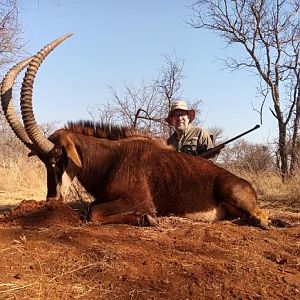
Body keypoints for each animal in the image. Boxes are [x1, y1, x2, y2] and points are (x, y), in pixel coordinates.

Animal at [1, 34, 270, 229]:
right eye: (44, 162)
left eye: (59, 158)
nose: (51, 201)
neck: (109, 160)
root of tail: (245, 183)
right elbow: (91, 207)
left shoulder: (139, 201)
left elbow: (94, 212)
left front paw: (147, 219)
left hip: (234, 193)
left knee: (261, 216)